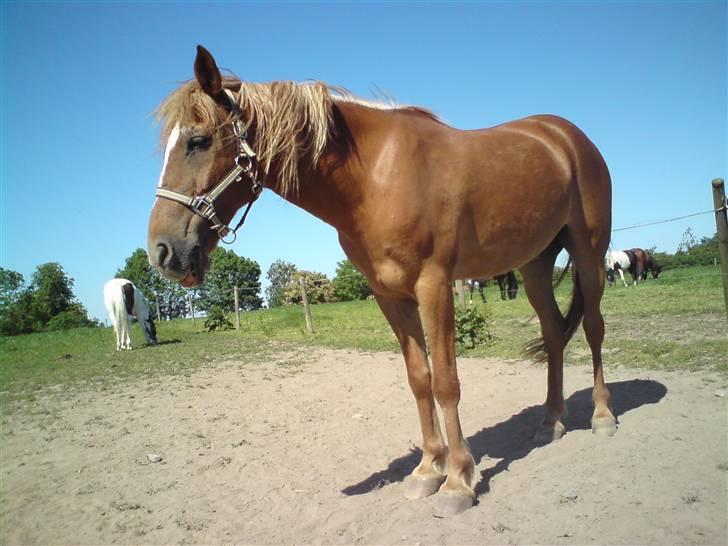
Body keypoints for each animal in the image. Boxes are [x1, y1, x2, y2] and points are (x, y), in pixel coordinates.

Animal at [147, 45, 616, 515]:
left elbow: (446, 382)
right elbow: (419, 379)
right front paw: (428, 470)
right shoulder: (390, 295)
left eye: (198, 141)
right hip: (534, 264)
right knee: (553, 333)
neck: (375, 177)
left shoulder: (434, 285)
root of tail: (565, 136)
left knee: (594, 329)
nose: (162, 251)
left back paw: (602, 417)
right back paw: (551, 422)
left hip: (589, 254)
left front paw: (459, 482)